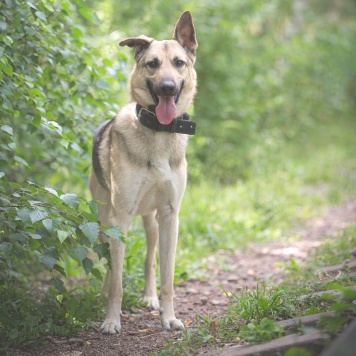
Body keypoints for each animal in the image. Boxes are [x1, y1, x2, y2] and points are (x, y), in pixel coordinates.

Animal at [89, 11, 197, 334]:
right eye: (152, 64)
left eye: (179, 63)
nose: (167, 87)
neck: (159, 132)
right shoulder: (119, 219)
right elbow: (117, 281)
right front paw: (111, 320)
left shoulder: (170, 216)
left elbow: (167, 278)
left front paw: (168, 317)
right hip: (103, 220)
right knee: (109, 265)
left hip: (152, 224)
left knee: (150, 260)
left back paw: (150, 297)